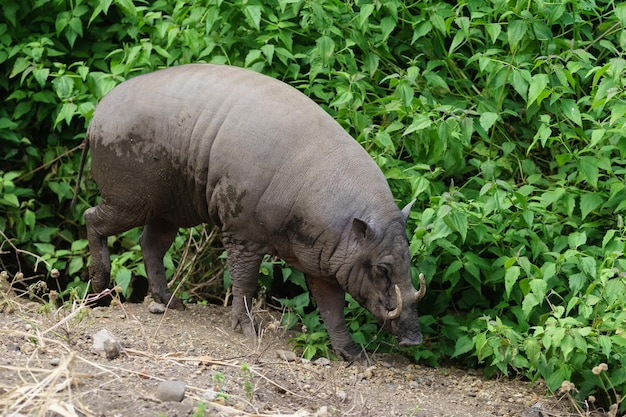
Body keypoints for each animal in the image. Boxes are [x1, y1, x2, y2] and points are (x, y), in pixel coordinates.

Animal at [75, 64, 424, 358]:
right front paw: (247, 330)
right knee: (92, 219)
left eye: (409, 258)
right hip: (131, 200)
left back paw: (172, 303)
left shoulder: (322, 265)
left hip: (168, 210)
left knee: (150, 245)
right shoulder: (242, 234)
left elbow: (332, 308)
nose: (414, 339)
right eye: (382, 268)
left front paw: (352, 354)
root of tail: (95, 117)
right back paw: (99, 291)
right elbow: (244, 283)